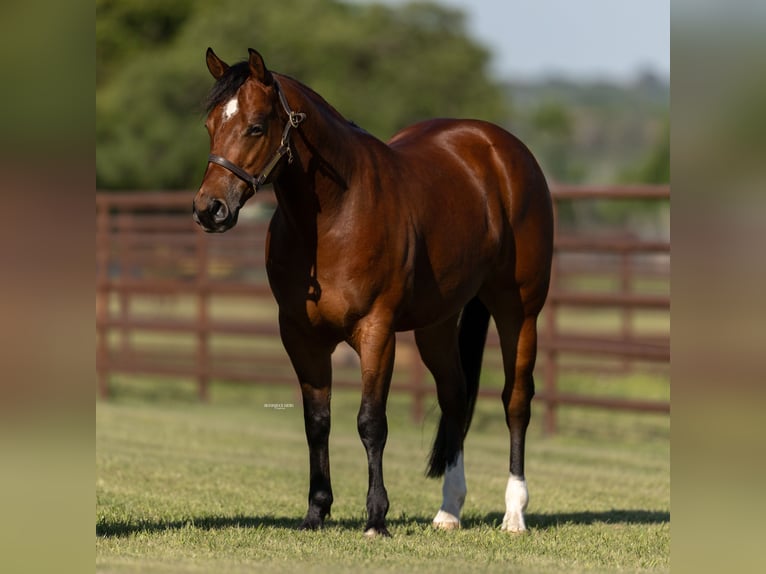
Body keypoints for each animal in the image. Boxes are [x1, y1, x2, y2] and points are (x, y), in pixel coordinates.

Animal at [193, 48, 554, 537]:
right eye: (211, 124)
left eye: (256, 126)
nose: (209, 209)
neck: (335, 215)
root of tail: (503, 148)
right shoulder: (300, 336)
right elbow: (316, 422)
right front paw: (316, 512)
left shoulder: (376, 332)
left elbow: (371, 423)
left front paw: (376, 518)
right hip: (437, 325)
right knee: (454, 397)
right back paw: (449, 510)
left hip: (520, 310)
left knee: (515, 401)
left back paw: (514, 512)